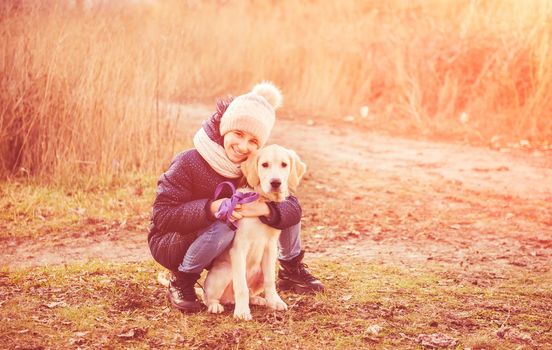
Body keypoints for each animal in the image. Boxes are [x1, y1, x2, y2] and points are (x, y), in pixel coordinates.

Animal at [203, 144, 306, 320]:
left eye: (284, 165)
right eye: (264, 165)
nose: (275, 182)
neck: (261, 199)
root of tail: (228, 299)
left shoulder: (271, 248)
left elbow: (270, 281)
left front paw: (274, 301)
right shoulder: (239, 249)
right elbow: (241, 287)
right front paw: (242, 311)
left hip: (259, 272)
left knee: (252, 291)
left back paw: (258, 300)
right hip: (224, 273)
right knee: (209, 296)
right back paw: (215, 305)